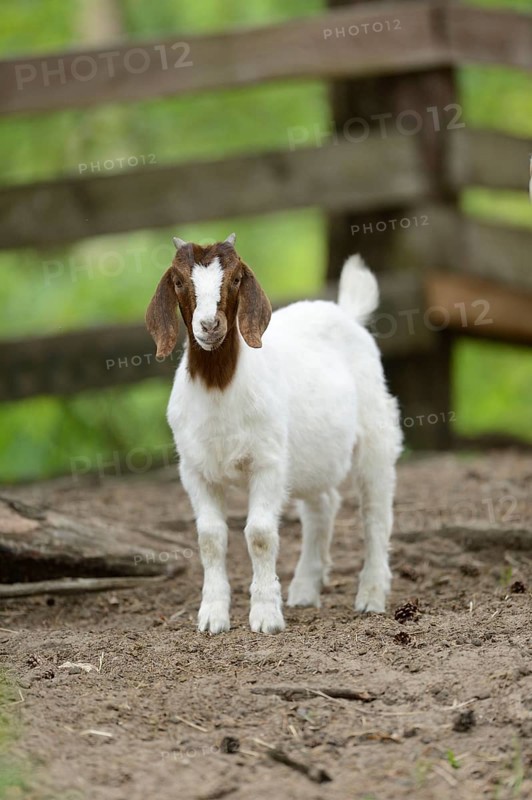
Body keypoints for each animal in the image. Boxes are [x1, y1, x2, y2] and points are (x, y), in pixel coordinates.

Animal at [146, 234, 402, 634]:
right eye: (178, 281)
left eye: (236, 278)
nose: (210, 325)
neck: (220, 386)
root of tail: (346, 313)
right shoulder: (195, 470)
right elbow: (210, 538)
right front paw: (212, 616)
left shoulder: (266, 463)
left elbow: (260, 534)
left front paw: (266, 616)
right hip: (310, 455)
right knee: (322, 505)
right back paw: (305, 589)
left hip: (376, 432)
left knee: (375, 513)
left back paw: (371, 596)